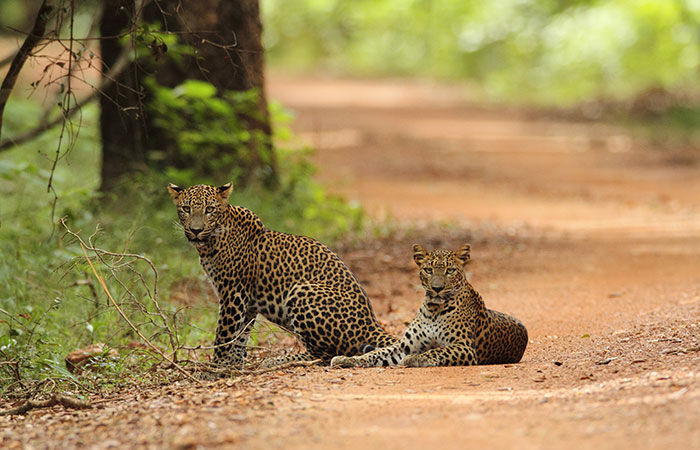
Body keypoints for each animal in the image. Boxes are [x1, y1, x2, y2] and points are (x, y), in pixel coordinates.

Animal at [168, 182, 396, 369]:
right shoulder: (247, 303)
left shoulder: (233, 295)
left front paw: (213, 368)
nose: (196, 230)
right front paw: (234, 365)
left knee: (324, 355)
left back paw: (277, 360)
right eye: (186, 209)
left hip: (301, 291)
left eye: (210, 210)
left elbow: (224, 334)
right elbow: (240, 337)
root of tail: (371, 324)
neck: (210, 243)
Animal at [331, 243, 528, 368]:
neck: (433, 309)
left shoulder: (465, 347)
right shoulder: (403, 346)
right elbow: (375, 353)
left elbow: (437, 351)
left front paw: (414, 359)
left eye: (450, 271)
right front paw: (347, 360)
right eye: (428, 270)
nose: (437, 288)